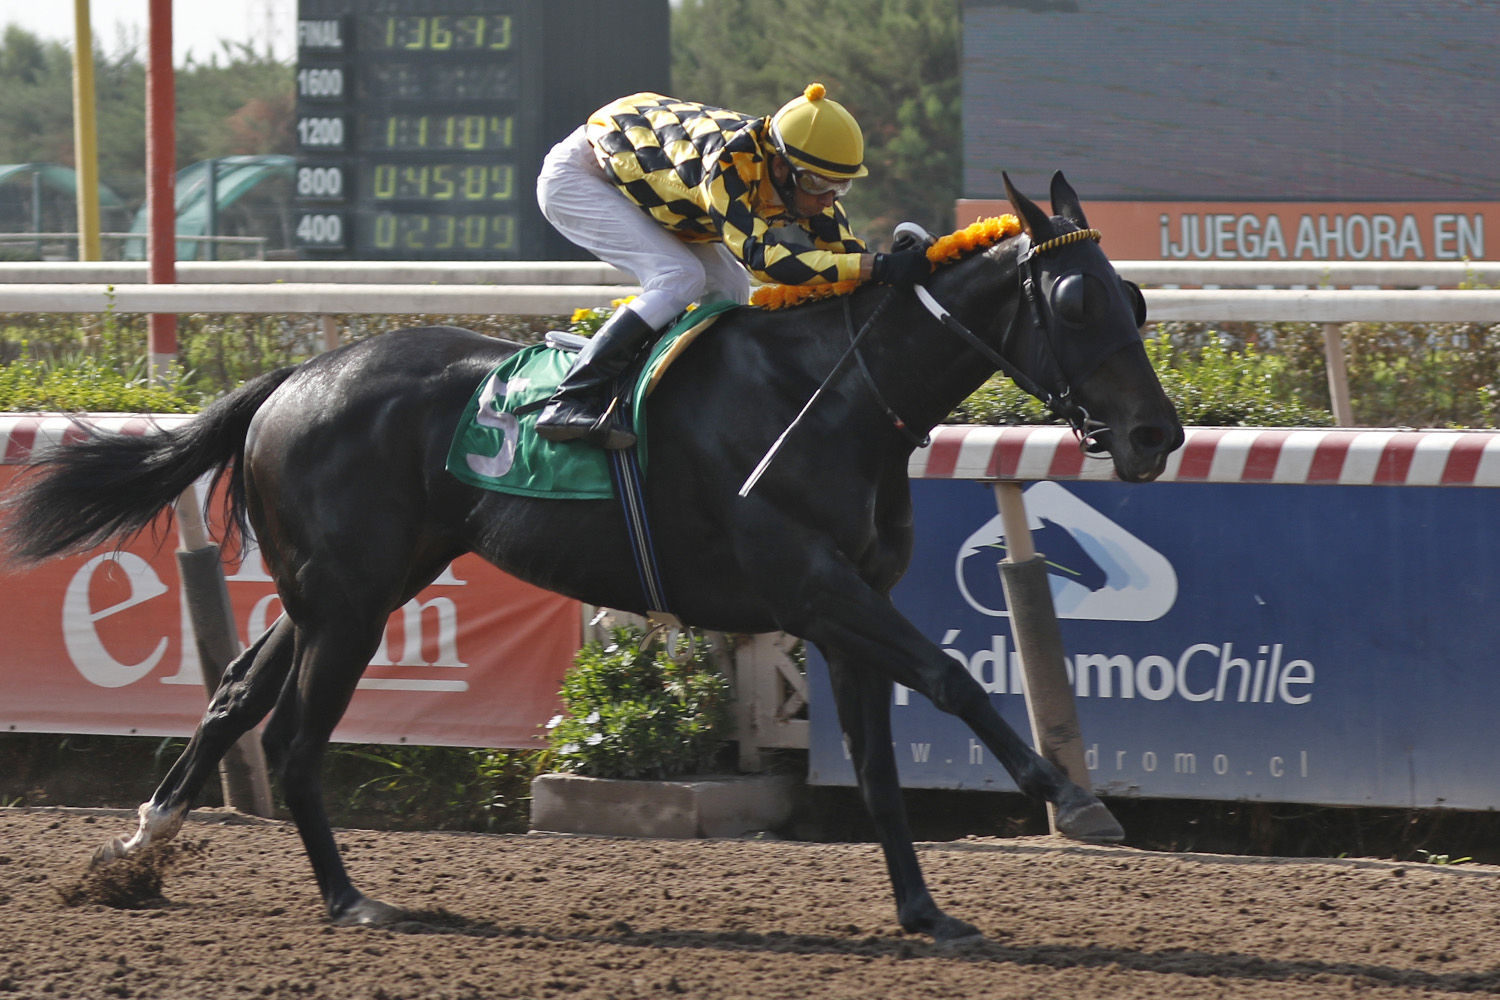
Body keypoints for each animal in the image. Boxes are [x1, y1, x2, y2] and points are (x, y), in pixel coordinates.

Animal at [0, 172, 1182, 944]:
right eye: (1076, 301)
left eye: (1135, 298)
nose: (1157, 435)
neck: (835, 394)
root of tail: (296, 376)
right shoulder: (813, 586)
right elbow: (951, 675)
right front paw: (1071, 799)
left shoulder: (845, 609)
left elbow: (885, 768)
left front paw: (927, 912)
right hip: (350, 603)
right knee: (292, 739)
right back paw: (352, 901)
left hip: (347, 586)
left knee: (236, 692)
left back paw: (137, 851)